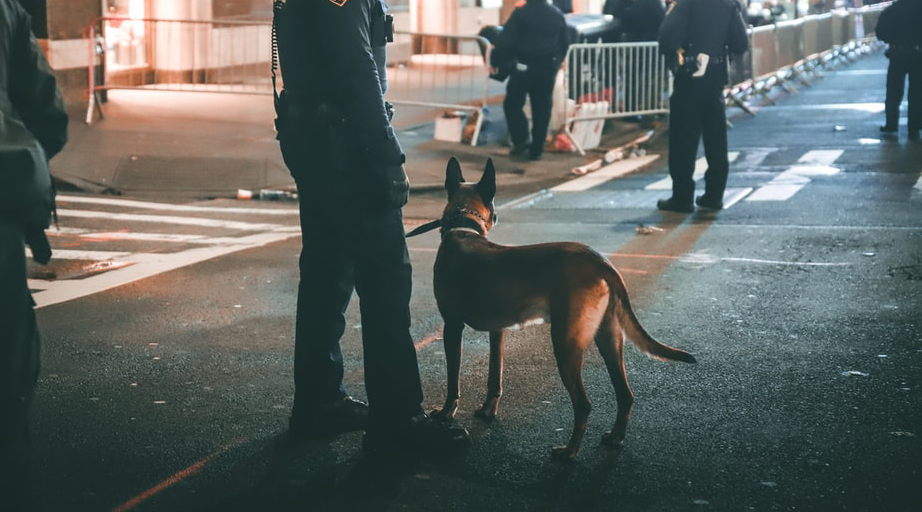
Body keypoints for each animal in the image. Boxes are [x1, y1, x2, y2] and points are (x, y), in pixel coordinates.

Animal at [410, 156, 696, 460]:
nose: (497, 217)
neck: (463, 228)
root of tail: (600, 261)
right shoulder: (498, 332)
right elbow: (494, 376)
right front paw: (488, 410)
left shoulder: (452, 328)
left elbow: (453, 380)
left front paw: (445, 413)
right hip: (608, 339)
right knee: (625, 394)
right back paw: (615, 437)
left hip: (565, 344)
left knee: (584, 404)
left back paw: (569, 453)